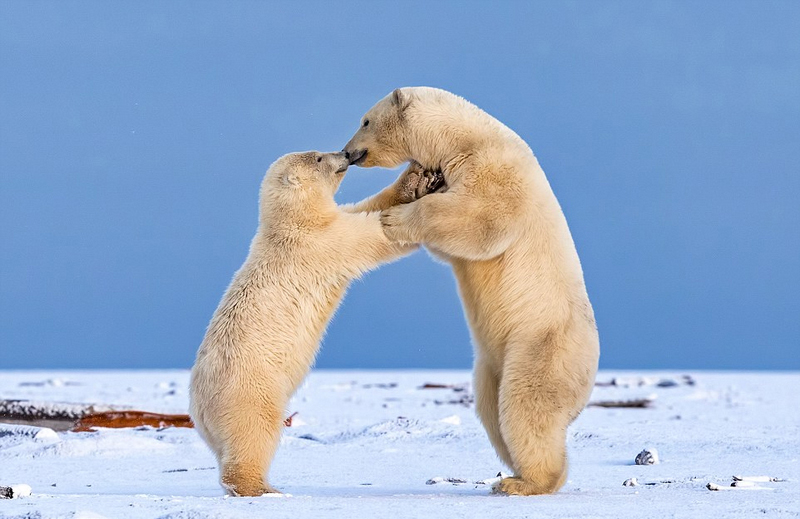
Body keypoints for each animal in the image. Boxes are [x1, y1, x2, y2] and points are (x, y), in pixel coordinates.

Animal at [189, 152, 438, 498]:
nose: (345, 154)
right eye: (319, 157)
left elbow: (365, 207)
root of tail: (197, 409)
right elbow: (373, 234)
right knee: (255, 434)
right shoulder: (319, 244)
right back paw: (262, 488)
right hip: (249, 390)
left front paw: (414, 179)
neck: (290, 224)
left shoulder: (327, 225)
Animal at [344, 88, 600, 496]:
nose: (349, 152)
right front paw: (417, 181)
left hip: (542, 346)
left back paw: (523, 483)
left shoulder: (495, 170)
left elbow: (478, 218)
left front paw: (395, 218)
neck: (464, 138)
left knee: (526, 407)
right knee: (492, 410)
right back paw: (511, 473)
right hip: (491, 365)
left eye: (365, 120)